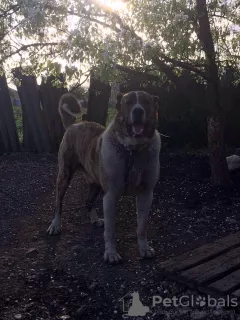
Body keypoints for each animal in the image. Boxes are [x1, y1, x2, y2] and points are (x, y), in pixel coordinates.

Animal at [47, 90, 161, 262]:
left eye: (146, 102)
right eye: (128, 102)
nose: (138, 111)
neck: (132, 151)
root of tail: (73, 125)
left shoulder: (146, 194)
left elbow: (142, 227)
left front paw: (144, 249)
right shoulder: (111, 196)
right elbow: (110, 229)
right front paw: (111, 253)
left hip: (96, 183)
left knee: (88, 201)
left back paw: (95, 220)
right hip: (64, 176)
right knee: (58, 203)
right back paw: (55, 225)